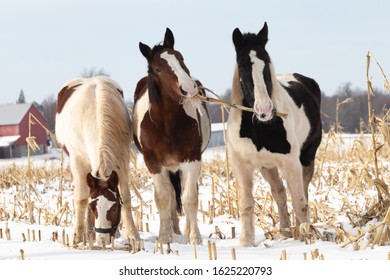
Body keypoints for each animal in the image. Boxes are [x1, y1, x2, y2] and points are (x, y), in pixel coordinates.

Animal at [54, 75, 140, 246]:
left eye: (114, 208)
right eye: (93, 207)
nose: (103, 239)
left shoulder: (122, 158)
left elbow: (125, 197)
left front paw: (133, 235)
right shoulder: (77, 161)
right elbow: (82, 199)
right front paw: (79, 236)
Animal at [133, 27, 210, 244]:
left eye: (181, 58)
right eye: (158, 69)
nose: (190, 88)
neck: (167, 124)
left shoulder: (192, 159)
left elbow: (190, 197)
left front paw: (195, 238)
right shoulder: (154, 164)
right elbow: (163, 199)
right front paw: (163, 238)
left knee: (183, 192)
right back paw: (172, 231)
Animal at [227, 23, 322, 246]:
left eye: (266, 63)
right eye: (242, 65)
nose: (265, 109)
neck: (260, 127)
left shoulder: (291, 163)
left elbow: (300, 202)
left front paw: (307, 239)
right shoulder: (241, 166)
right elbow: (246, 204)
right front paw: (246, 243)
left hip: (306, 158)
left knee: (302, 193)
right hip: (267, 166)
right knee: (279, 192)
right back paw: (286, 232)